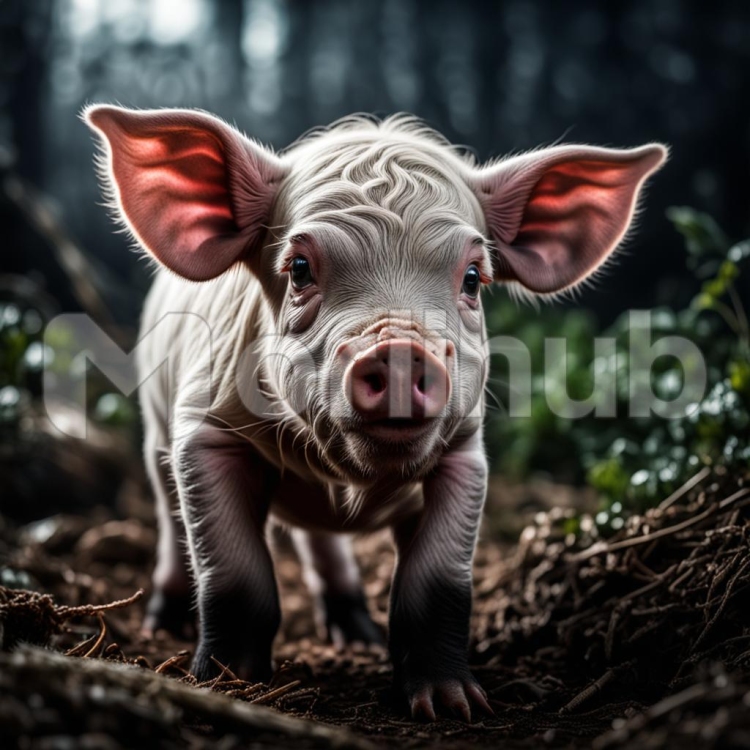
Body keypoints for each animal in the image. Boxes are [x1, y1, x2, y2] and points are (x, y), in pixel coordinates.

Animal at [84, 104, 666, 721]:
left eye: (472, 278)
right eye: (298, 268)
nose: (400, 350)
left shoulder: (464, 456)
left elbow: (437, 583)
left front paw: (452, 706)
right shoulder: (206, 431)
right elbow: (235, 574)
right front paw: (226, 681)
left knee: (322, 541)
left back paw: (357, 636)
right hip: (155, 430)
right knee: (171, 519)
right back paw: (163, 623)